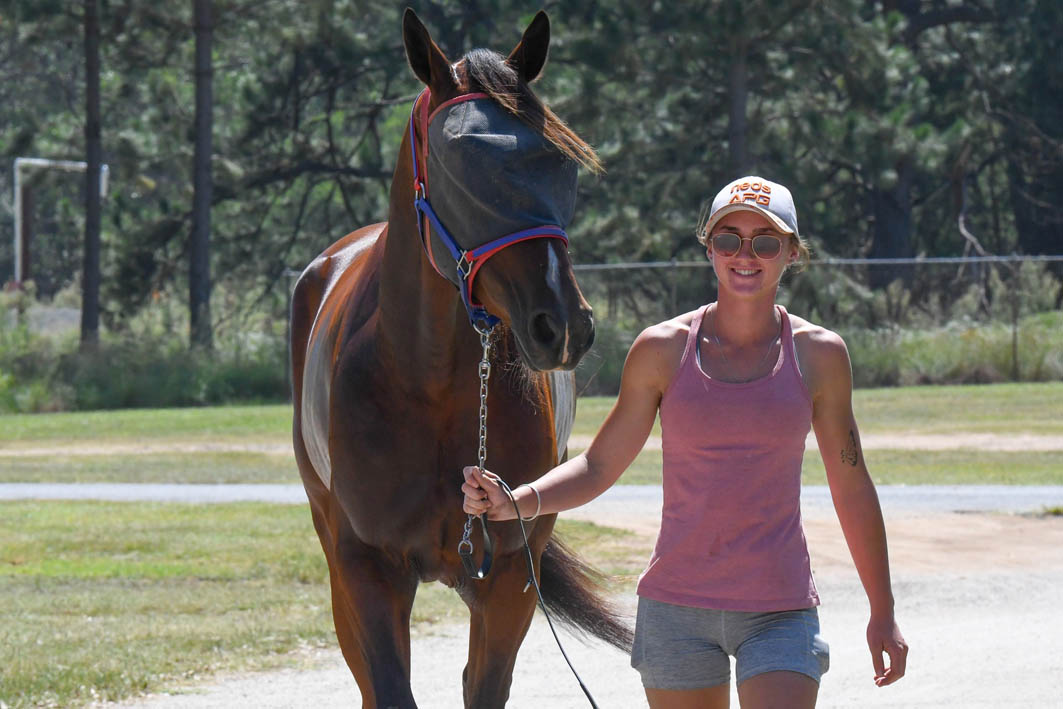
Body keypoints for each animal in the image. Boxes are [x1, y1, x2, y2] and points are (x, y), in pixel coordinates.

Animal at [290, 9, 632, 708]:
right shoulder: (366, 568)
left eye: (559, 160)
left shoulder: (508, 573)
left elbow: (485, 685)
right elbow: (390, 688)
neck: (431, 386)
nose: (563, 324)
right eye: (457, 162)